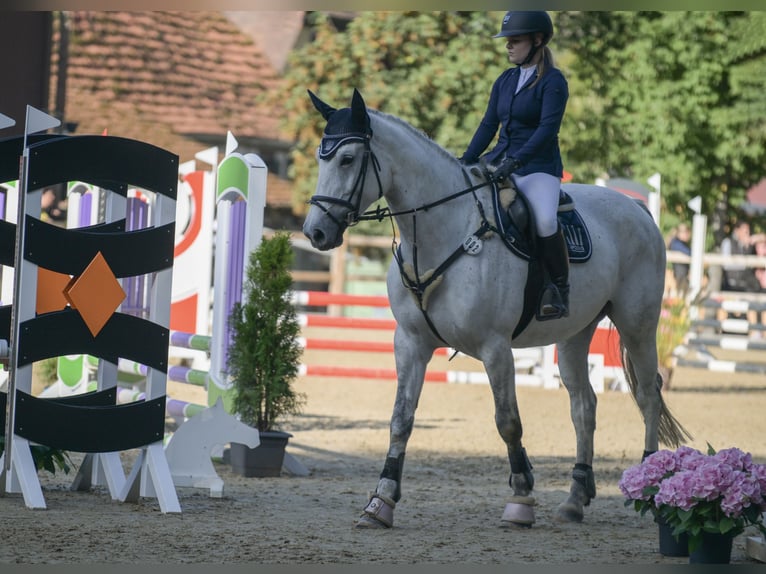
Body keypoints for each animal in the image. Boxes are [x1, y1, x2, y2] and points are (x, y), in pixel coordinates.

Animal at [304, 89, 692, 532]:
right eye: (320, 157)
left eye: (347, 159)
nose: (315, 232)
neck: (443, 231)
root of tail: (638, 210)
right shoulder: (411, 344)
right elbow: (401, 418)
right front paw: (380, 501)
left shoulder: (495, 348)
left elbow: (508, 421)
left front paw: (521, 497)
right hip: (575, 334)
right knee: (584, 405)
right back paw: (575, 498)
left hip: (637, 325)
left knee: (647, 394)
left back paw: (652, 487)